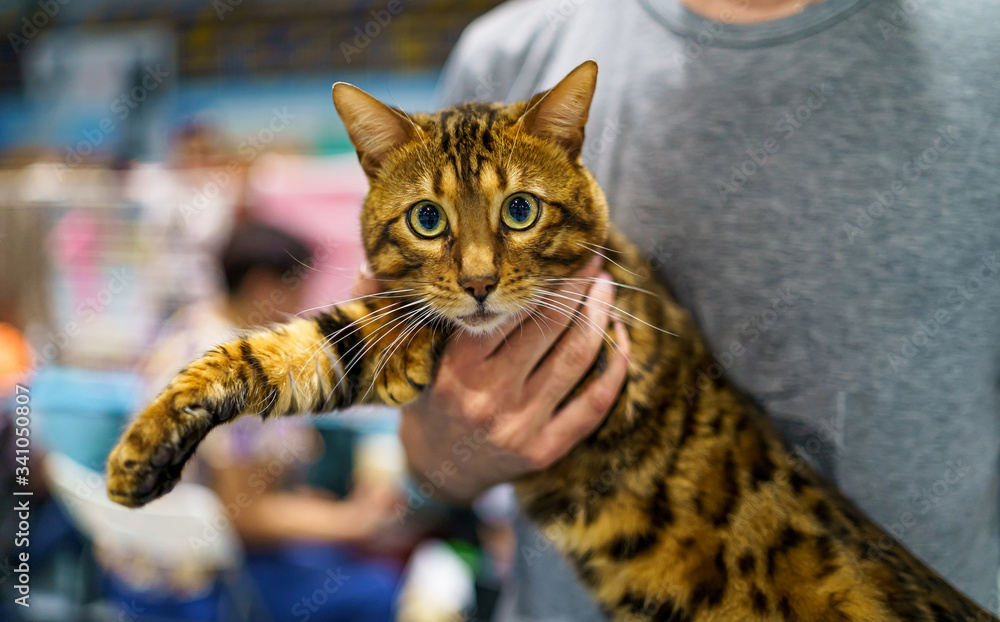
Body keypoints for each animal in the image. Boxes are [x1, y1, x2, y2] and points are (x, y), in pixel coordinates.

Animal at [105, 59, 996, 622]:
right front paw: (143, 450)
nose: (476, 282)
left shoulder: (593, 348)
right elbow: (283, 352)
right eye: (426, 219)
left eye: (521, 210)